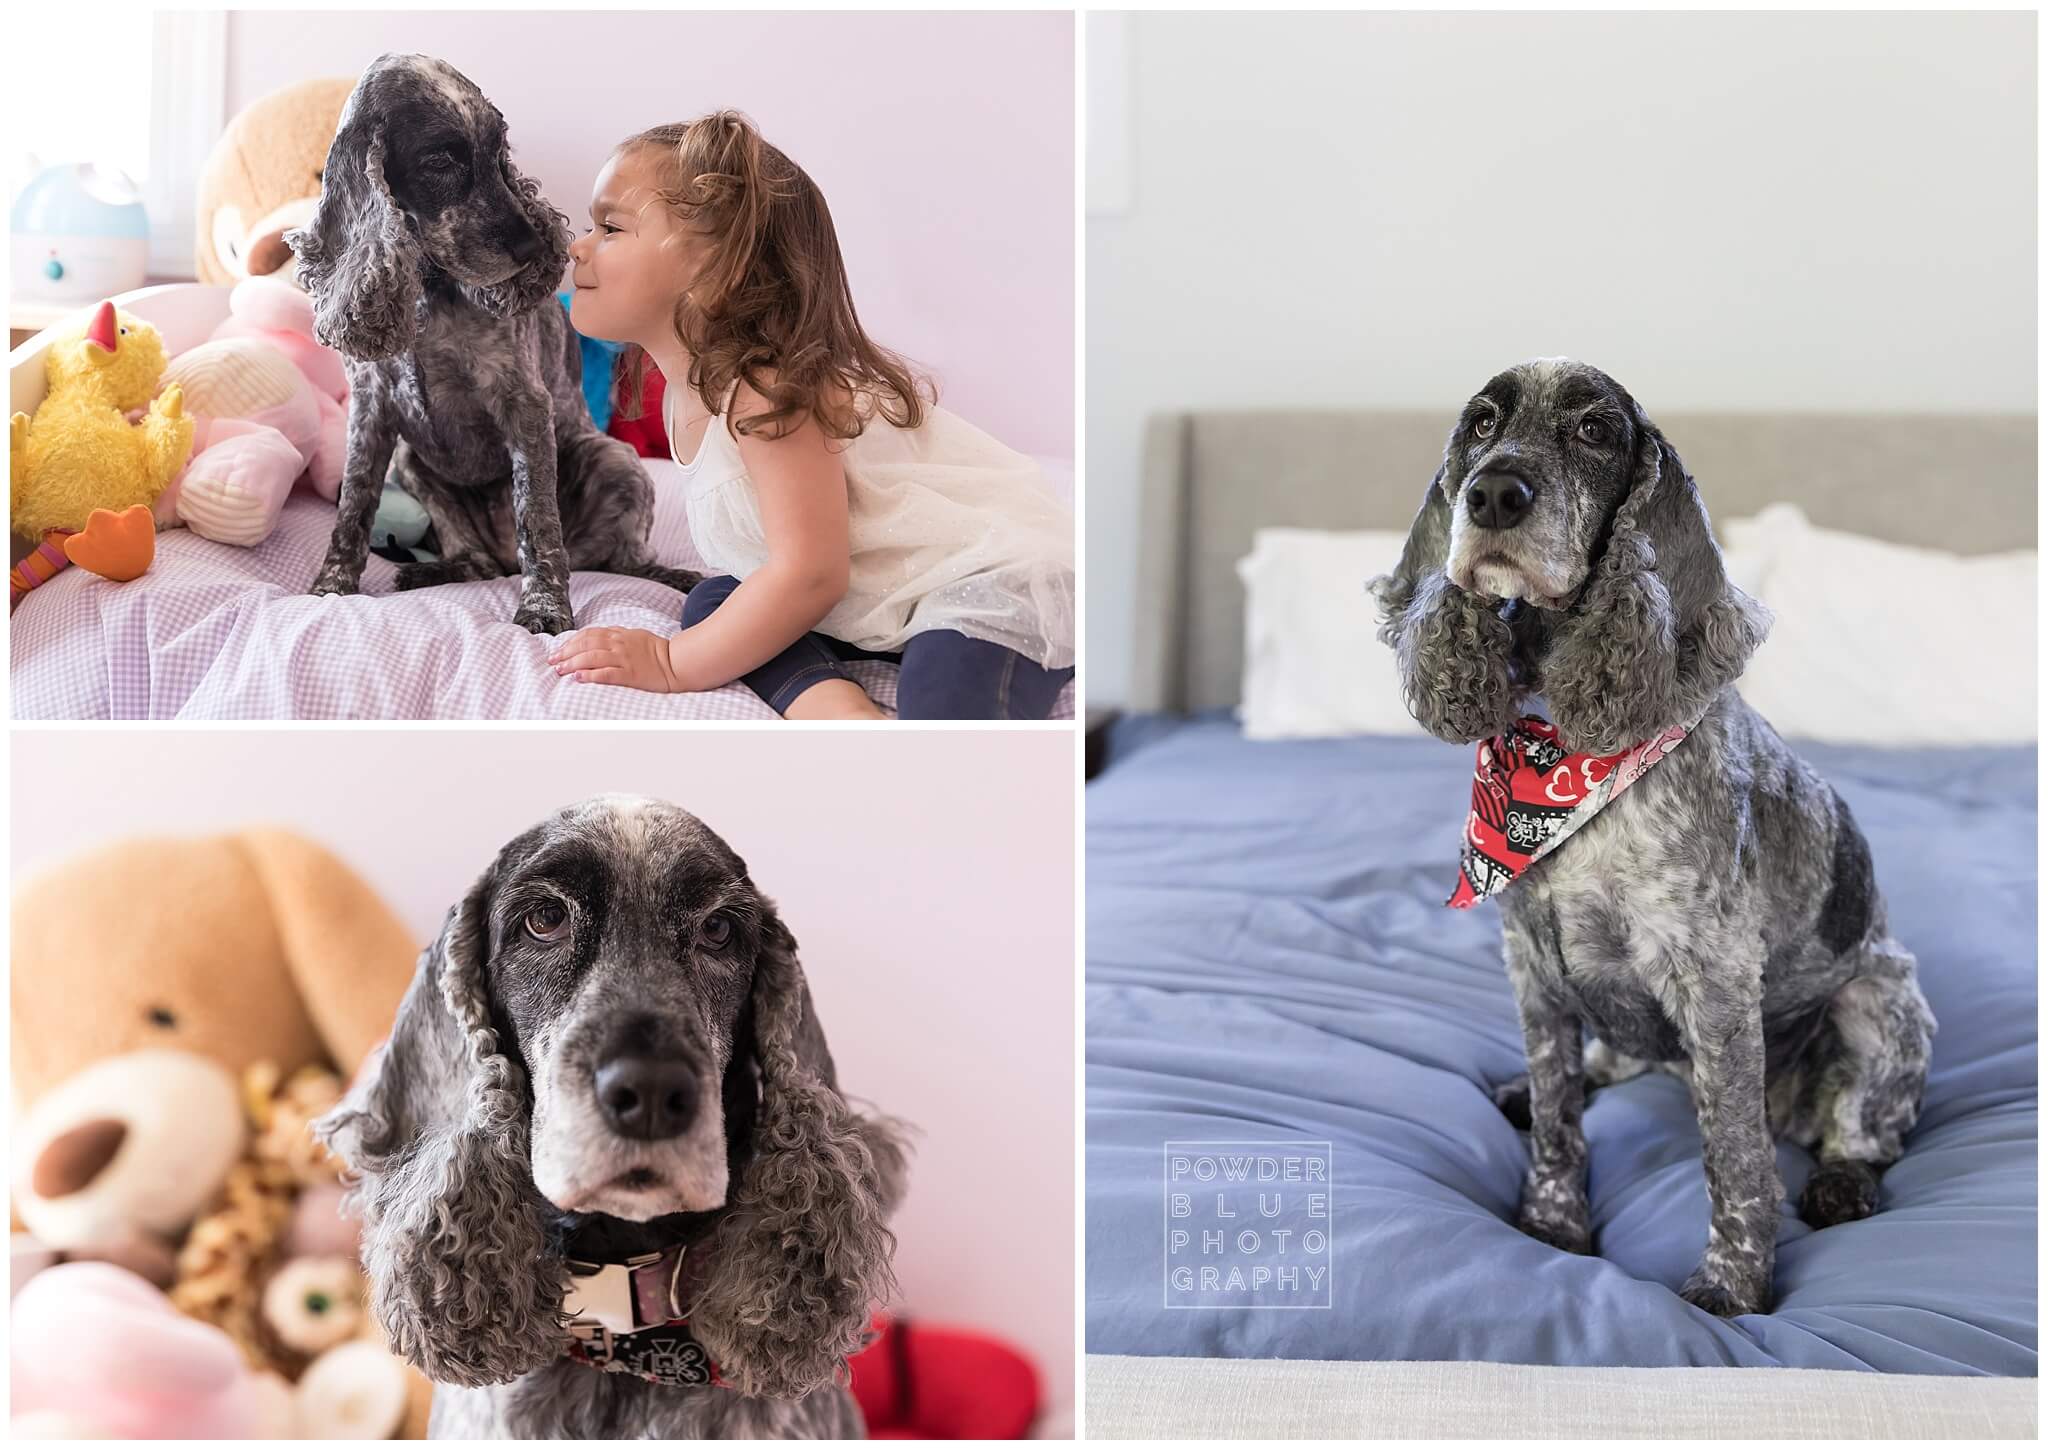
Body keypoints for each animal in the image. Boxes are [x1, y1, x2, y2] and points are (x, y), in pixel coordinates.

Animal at [284, 56, 704, 634]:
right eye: (440, 160)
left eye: (499, 152)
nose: (532, 246)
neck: (430, 293)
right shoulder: (370, 408)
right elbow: (352, 506)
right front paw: (330, 588)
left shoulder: (523, 402)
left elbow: (537, 519)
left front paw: (545, 607)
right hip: (411, 464)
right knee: (479, 561)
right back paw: (438, 569)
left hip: (612, 458)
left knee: (618, 560)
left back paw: (671, 576)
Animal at [1376, 360, 1933, 1310]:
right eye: (1481, 424)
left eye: (1596, 431)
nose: (1493, 493)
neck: (1559, 749)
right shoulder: (1531, 961)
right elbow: (1559, 1117)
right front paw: (1552, 1222)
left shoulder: (1714, 978)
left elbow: (1735, 1155)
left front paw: (1731, 1288)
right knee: (1613, 1058)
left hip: (1876, 998)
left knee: (1866, 1131)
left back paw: (1840, 1181)